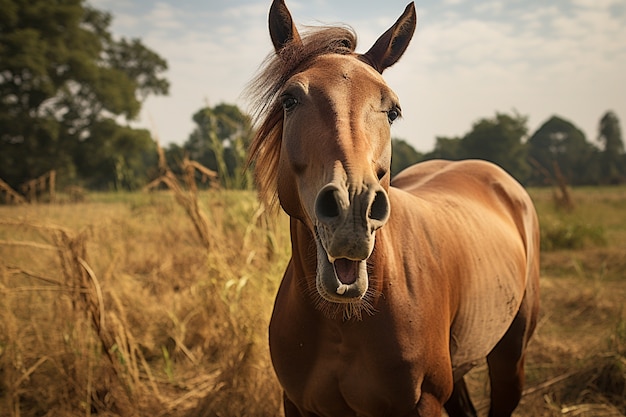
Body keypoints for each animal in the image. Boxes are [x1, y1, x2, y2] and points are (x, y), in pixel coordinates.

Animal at [246, 1, 540, 414]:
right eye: (289, 99)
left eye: (393, 110)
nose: (353, 209)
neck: (343, 322)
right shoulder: (297, 404)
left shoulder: (425, 401)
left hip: (510, 357)